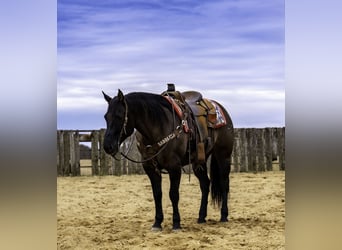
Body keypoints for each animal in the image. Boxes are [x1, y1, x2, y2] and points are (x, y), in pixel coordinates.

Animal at [103, 88, 234, 230]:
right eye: (105, 117)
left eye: (119, 115)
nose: (107, 146)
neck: (158, 126)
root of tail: (221, 109)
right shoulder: (150, 168)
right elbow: (157, 194)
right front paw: (157, 222)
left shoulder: (174, 167)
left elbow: (173, 194)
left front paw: (176, 223)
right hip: (199, 162)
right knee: (205, 184)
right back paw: (201, 217)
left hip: (223, 156)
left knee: (224, 183)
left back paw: (224, 215)